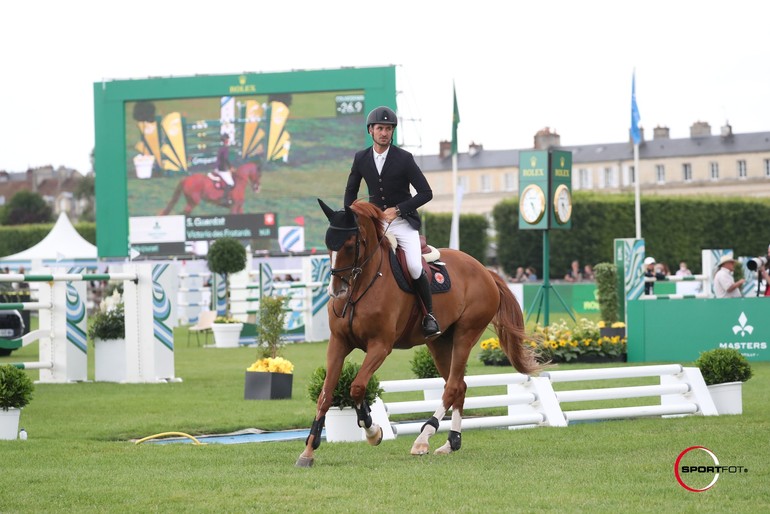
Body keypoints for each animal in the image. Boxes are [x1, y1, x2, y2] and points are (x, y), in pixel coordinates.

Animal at [296, 199, 540, 464]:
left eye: (350, 245)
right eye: (328, 245)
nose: (336, 291)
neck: (361, 287)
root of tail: (485, 270)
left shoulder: (380, 346)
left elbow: (357, 387)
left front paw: (372, 431)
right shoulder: (338, 343)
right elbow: (326, 394)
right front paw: (309, 449)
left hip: (465, 334)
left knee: (452, 387)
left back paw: (423, 438)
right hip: (439, 342)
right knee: (459, 386)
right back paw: (451, 443)